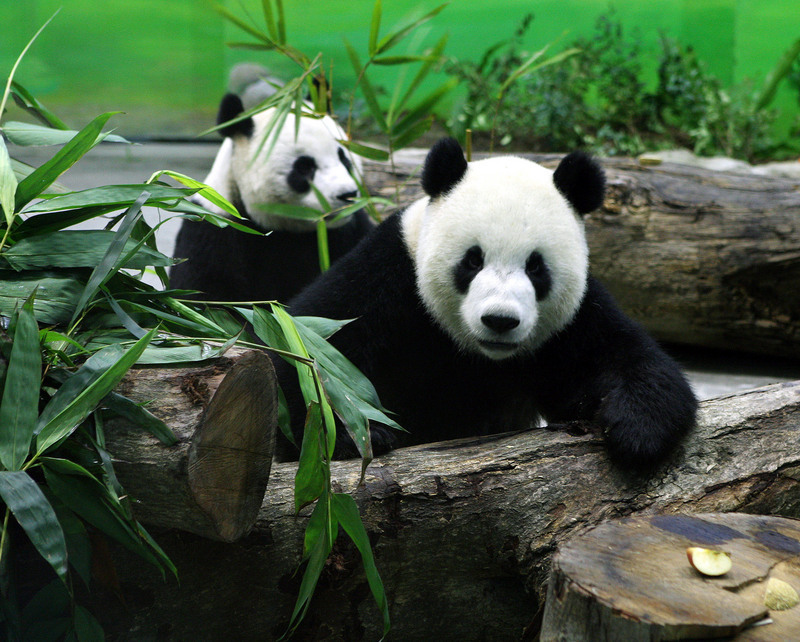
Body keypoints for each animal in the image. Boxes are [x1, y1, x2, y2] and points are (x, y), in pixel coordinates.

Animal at [169, 92, 373, 303]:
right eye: (304, 166)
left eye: (344, 158)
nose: (347, 195)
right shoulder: (215, 227)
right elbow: (205, 292)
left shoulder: (350, 229)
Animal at [274, 137, 698, 469]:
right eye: (473, 260)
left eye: (535, 267)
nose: (500, 320)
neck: (480, 355)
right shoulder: (389, 275)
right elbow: (310, 347)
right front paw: (355, 431)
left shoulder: (572, 320)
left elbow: (630, 360)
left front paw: (634, 429)